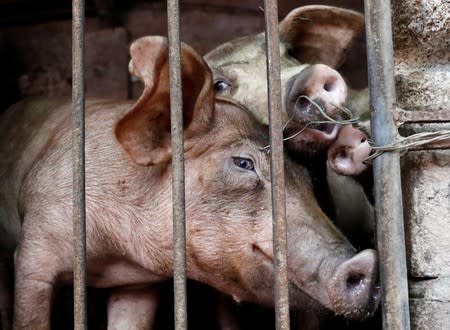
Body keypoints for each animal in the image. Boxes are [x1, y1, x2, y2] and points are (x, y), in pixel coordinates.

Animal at [0, 34, 382, 328]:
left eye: (304, 176)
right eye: (243, 163)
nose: (367, 263)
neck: (110, 255)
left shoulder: (138, 287)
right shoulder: (33, 252)